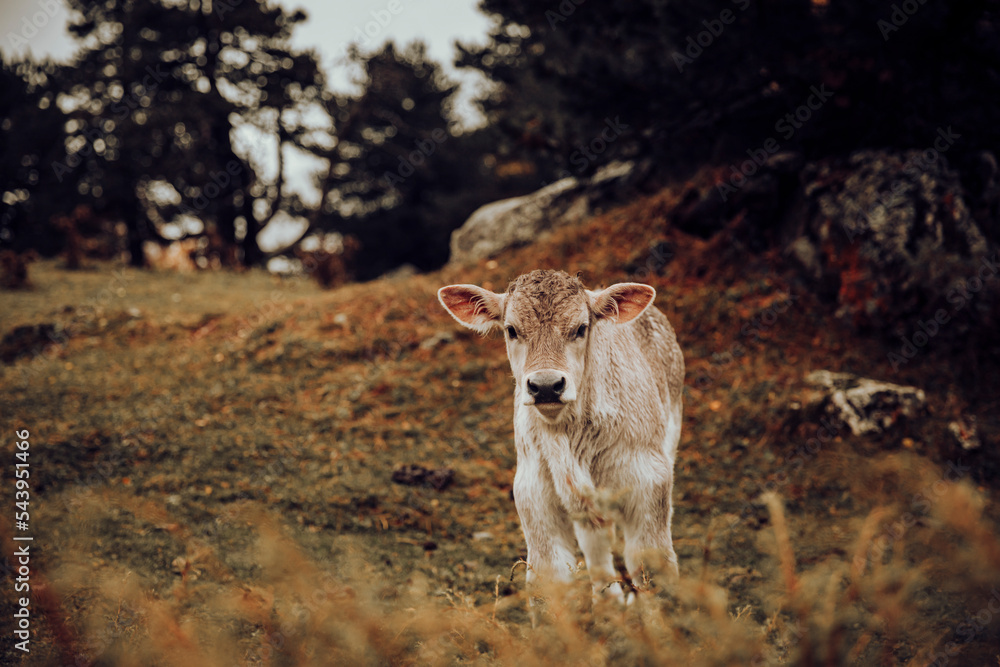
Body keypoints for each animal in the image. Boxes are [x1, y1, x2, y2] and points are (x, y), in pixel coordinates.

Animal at [438, 269, 684, 605]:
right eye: (511, 330)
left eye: (580, 328)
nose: (546, 385)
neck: (571, 440)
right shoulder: (533, 495)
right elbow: (548, 579)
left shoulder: (649, 483)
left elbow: (653, 569)